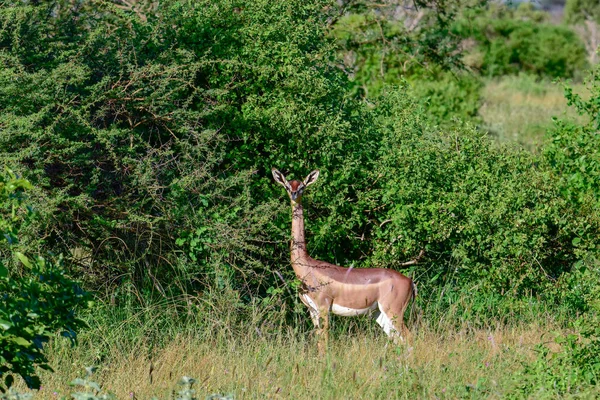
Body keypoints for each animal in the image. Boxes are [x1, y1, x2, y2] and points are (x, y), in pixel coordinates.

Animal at [272, 169, 418, 354]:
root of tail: (410, 282)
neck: (307, 267)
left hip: (394, 312)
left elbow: (324, 343)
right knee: (399, 341)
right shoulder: (312, 311)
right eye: (287, 185)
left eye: (303, 186)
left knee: (410, 339)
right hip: (380, 315)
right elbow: (319, 343)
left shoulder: (324, 308)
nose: (294, 194)